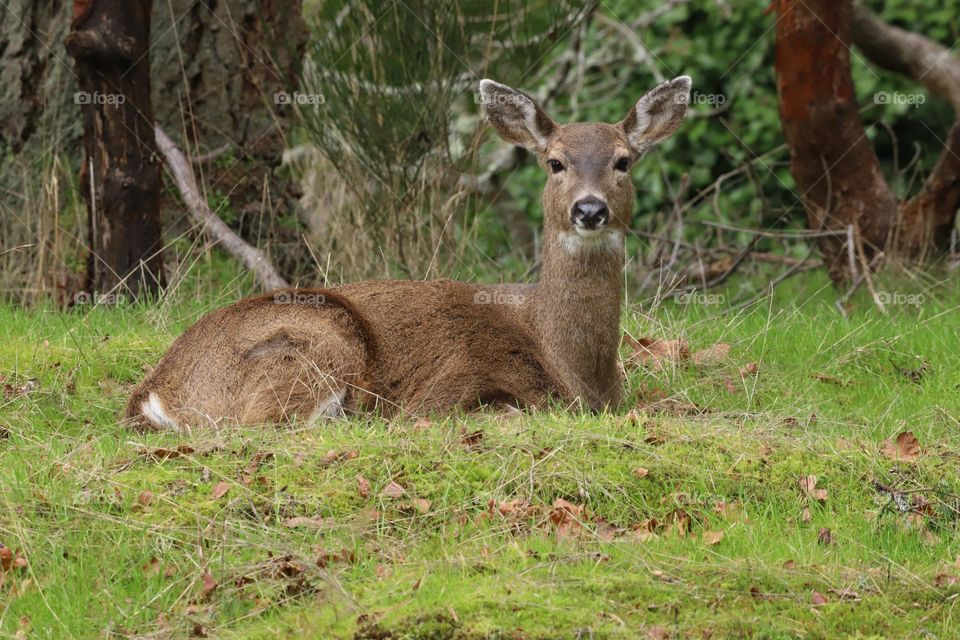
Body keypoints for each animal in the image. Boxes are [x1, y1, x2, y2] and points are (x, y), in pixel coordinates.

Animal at [125, 77, 688, 432]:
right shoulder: (450, 386)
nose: (590, 209)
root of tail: (155, 392)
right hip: (315, 339)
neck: (575, 370)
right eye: (554, 163)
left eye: (623, 161)